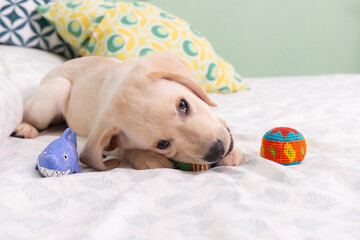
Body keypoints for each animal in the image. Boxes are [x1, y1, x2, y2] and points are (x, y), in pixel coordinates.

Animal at [14, 51, 245, 170]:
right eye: (162, 144)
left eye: (183, 105)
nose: (217, 151)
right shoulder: (104, 137)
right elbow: (123, 149)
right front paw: (147, 158)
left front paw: (234, 151)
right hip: (54, 92)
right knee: (30, 115)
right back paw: (25, 128)